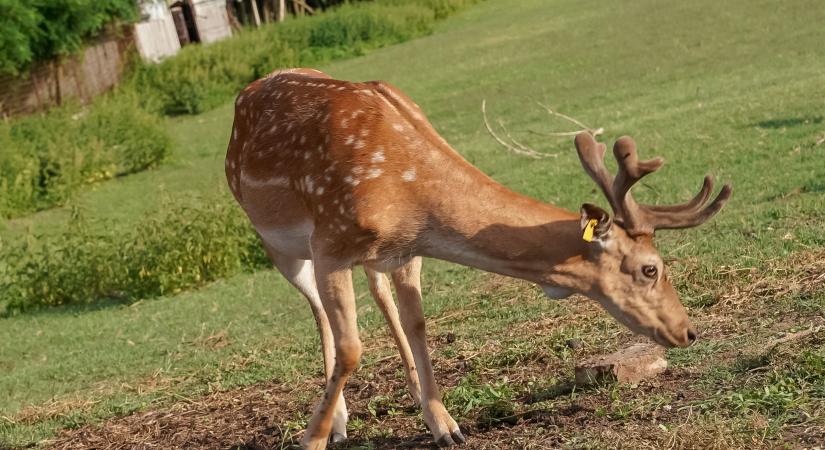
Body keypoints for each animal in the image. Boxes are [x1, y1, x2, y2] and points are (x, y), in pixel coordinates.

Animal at [222, 68, 732, 448]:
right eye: (650, 268)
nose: (687, 331)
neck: (408, 195)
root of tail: (247, 91)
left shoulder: (406, 250)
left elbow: (419, 324)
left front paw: (444, 424)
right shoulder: (330, 242)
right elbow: (351, 347)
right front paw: (311, 438)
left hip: (364, 258)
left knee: (377, 295)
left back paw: (404, 395)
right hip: (277, 242)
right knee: (317, 309)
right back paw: (339, 423)